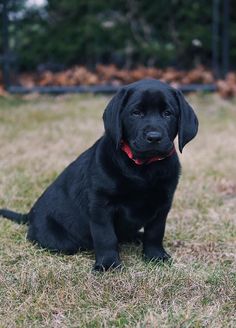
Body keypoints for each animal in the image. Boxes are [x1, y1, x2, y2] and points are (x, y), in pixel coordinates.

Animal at [0, 79, 197, 272]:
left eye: (167, 113)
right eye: (136, 113)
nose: (154, 137)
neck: (143, 167)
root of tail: (30, 215)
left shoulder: (163, 205)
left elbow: (155, 233)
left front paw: (155, 256)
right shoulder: (101, 205)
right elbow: (106, 236)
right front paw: (108, 264)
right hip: (61, 240)